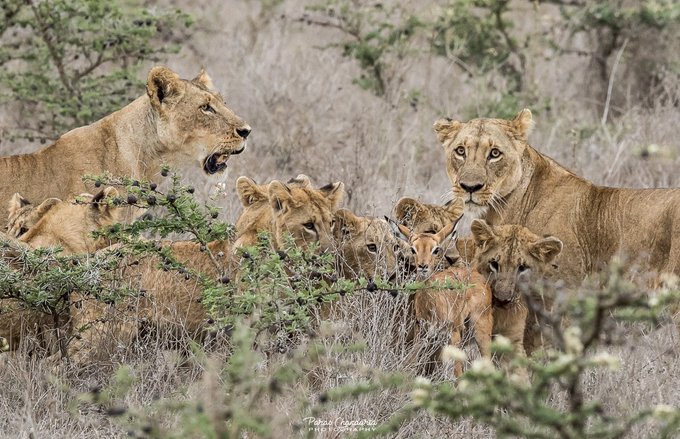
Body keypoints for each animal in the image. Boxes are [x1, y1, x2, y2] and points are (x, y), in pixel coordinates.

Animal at [389, 218, 493, 377]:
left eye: (435, 249)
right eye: (413, 249)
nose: (423, 266)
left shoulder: (453, 334)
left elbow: (458, 373)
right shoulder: (423, 334)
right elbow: (410, 363)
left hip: (480, 331)